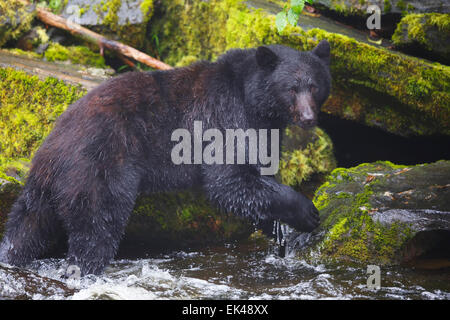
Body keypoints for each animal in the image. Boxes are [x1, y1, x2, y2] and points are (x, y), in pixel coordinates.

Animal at [0, 40, 330, 276]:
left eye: (314, 86)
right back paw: (82, 269)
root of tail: (53, 150)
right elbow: (230, 181)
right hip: (98, 170)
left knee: (26, 226)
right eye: (291, 88)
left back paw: (11, 255)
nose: (308, 118)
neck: (252, 100)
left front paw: (278, 227)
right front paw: (306, 211)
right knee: (97, 227)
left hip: (42, 189)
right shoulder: (227, 118)